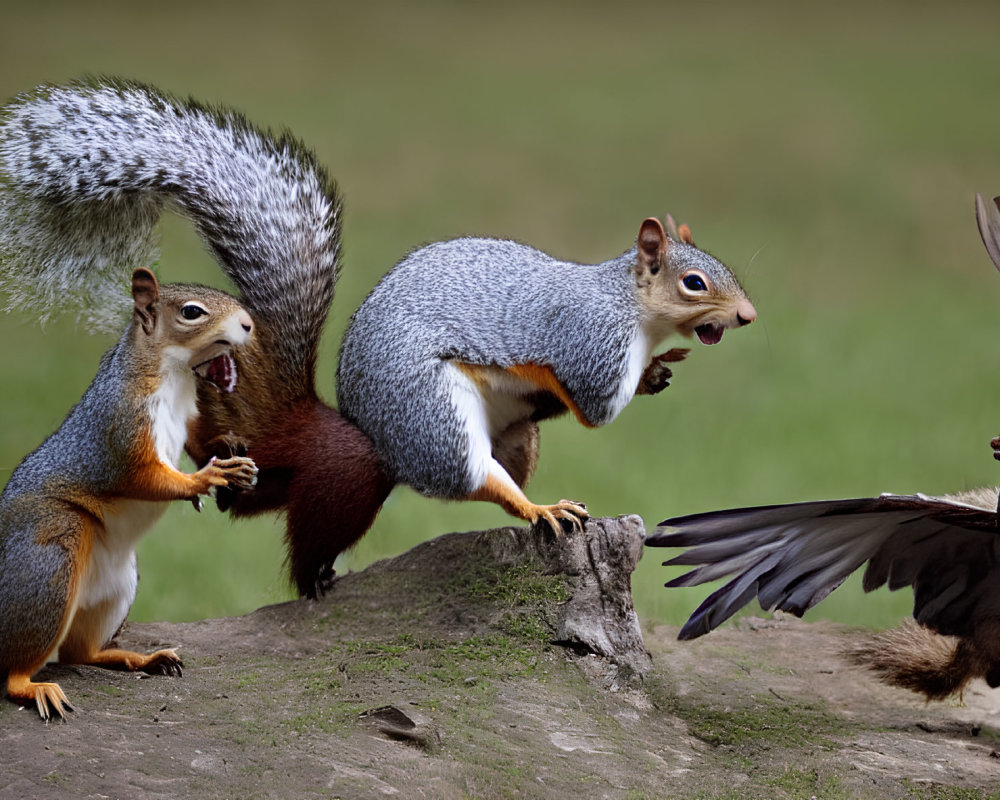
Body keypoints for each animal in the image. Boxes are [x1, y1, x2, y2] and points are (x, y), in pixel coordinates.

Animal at [0, 268, 262, 720]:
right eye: (192, 312)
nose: (248, 324)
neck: (173, 376)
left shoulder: (186, 417)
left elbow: (196, 439)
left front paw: (228, 445)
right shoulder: (123, 426)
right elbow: (145, 477)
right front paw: (207, 478)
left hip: (118, 587)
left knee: (80, 653)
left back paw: (141, 659)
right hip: (50, 559)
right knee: (15, 673)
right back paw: (33, 687)